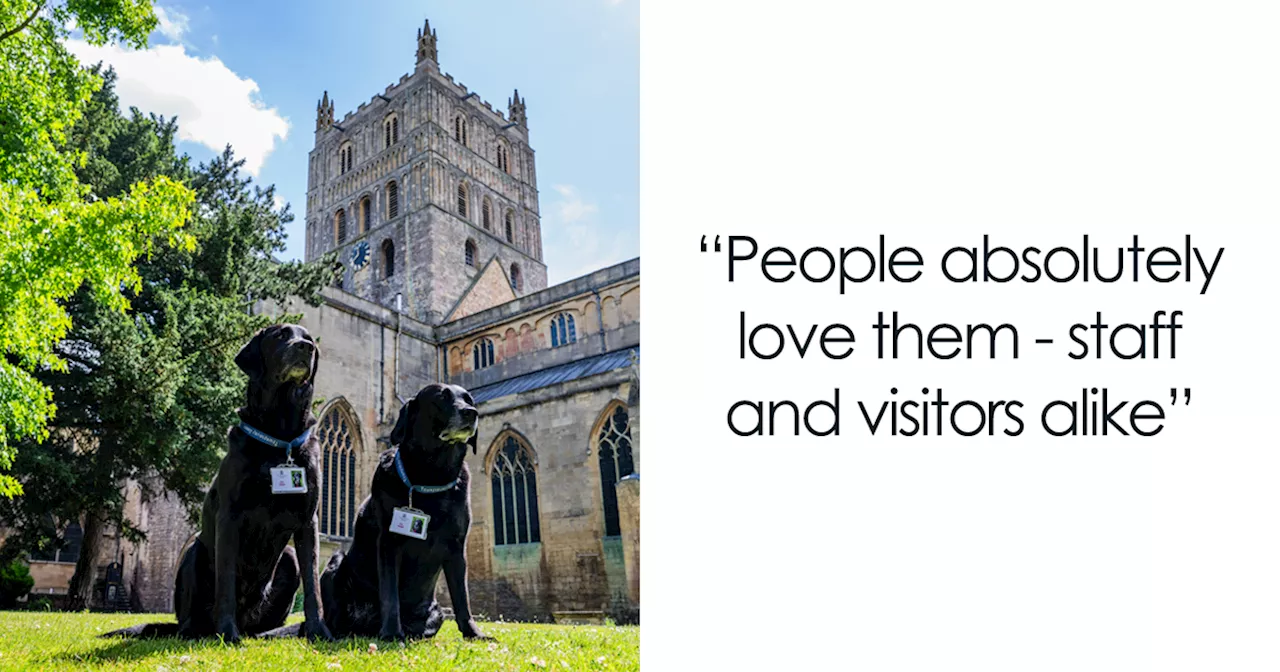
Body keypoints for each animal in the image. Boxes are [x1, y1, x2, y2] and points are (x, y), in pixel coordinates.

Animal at [104, 327, 332, 642]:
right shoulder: (229, 518)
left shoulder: (308, 522)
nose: (305, 347)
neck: (279, 435)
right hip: (195, 551)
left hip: (287, 560)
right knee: (189, 623)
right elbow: (226, 581)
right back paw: (206, 632)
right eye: (279, 335)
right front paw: (227, 632)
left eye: (308, 338)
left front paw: (319, 631)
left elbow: (314, 586)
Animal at [267, 381, 486, 640]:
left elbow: (462, 597)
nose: (471, 413)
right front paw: (391, 633)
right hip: (335, 565)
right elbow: (390, 595)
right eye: (441, 397)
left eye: (469, 399)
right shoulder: (389, 543)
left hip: (437, 613)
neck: (431, 477)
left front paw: (473, 633)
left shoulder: (456, 548)